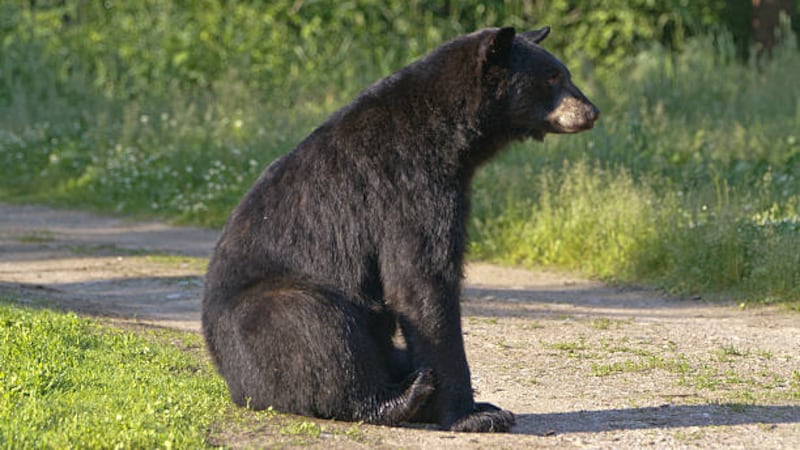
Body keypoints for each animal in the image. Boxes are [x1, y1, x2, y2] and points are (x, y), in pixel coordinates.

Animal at [202, 26, 598, 433]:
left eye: (564, 72)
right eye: (553, 76)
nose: (592, 112)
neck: (448, 134)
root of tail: (231, 381)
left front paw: (478, 406)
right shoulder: (407, 187)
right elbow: (420, 281)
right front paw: (472, 415)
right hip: (263, 318)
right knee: (314, 323)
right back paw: (399, 397)